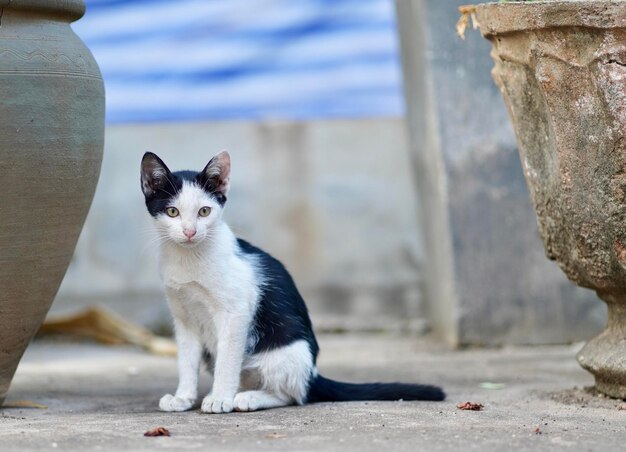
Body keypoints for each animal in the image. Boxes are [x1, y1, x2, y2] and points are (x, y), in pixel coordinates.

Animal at [140, 151, 444, 414]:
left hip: (285, 352)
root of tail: (313, 373)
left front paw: (220, 398)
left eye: (204, 211)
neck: (188, 259)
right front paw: (183, 397)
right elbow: (186, 361)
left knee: (292, 395)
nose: (190, 232)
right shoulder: (184, 318)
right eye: (172, 212)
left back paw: (247, 398)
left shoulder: (236, 312)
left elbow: (227, 359)